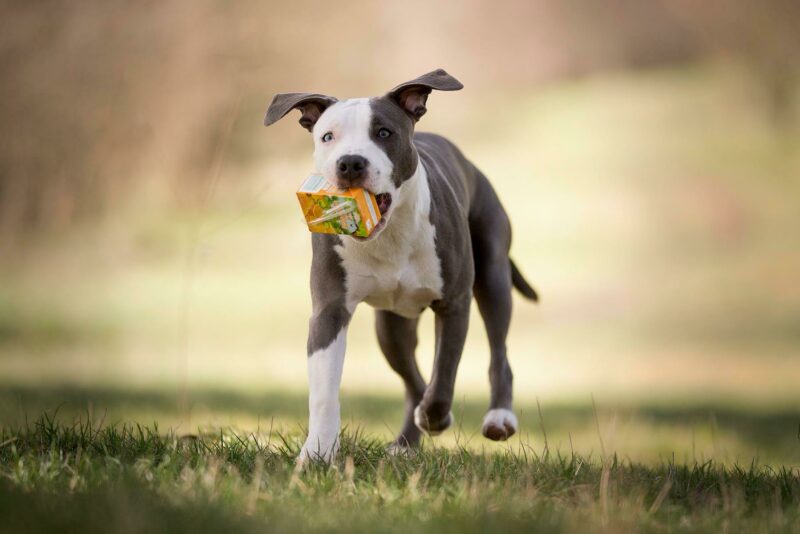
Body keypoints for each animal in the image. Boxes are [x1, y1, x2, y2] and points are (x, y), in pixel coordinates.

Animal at [264, 69, 536, 464]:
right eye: (328, 136)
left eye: (384, 132)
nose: (350, 163)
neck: (388, 234)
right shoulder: (329, 311)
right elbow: (325, 392)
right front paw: (317, 454)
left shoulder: (454, 304)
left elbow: (444, 375)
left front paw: (436, 417)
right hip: (391, 328)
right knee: (412, 382)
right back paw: (406, 443)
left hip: (493, 275)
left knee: (497, 352)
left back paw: (499, 417)